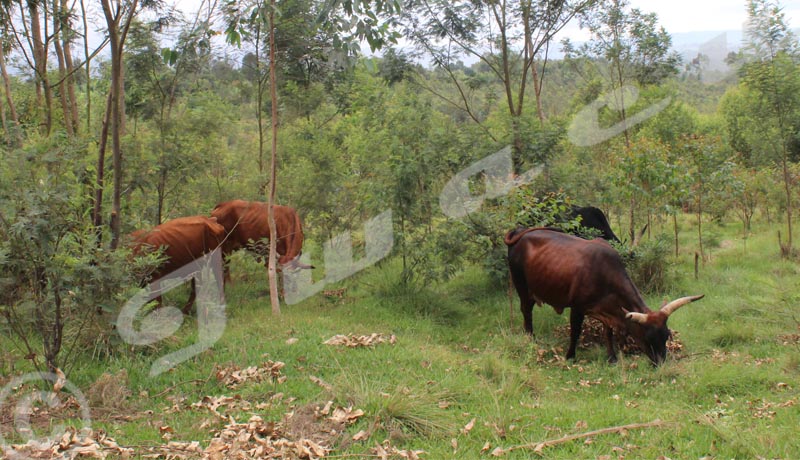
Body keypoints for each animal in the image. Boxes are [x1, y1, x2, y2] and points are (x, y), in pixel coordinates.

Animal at [506, 227, 700, 366]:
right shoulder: (577, 308)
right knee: (526, 312)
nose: (661, 363)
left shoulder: (608, 311)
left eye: (666, 336)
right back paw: (530, 338)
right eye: (649, 337)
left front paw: (612, 357)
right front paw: (570, 356)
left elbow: (608, 332)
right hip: (521, 286)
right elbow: (575, 332)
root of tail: (520, 231)